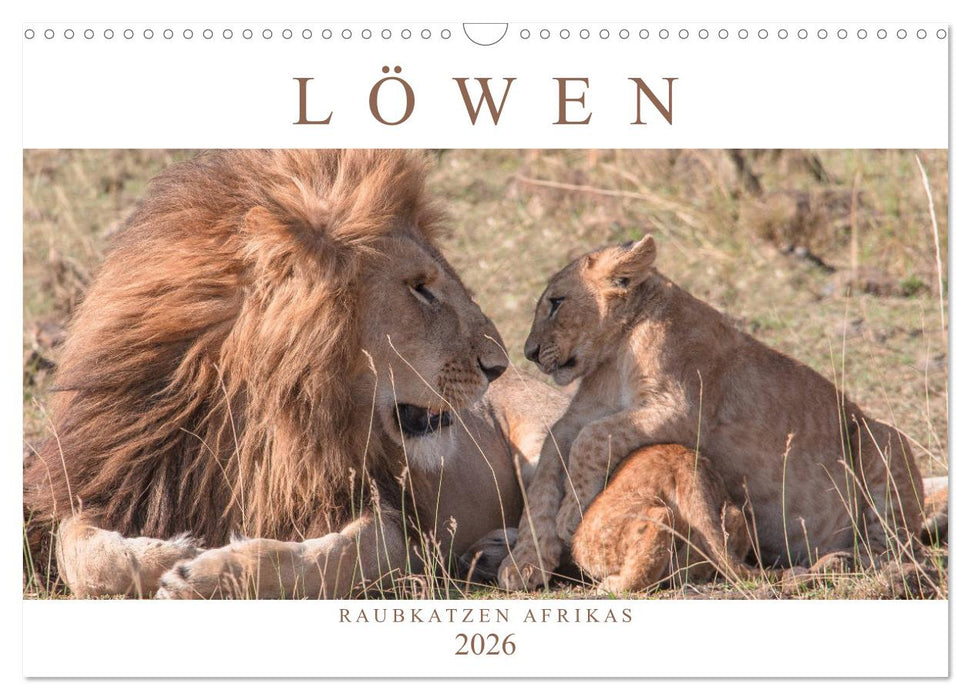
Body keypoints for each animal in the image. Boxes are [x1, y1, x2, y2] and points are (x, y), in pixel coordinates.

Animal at [23, 149, 566, 599]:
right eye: (419, 288)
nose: (500, 365)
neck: (255, 414)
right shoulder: (110, 480)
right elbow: (83, 554)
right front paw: (173, 551)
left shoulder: (390, 519)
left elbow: (327, 558)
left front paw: (205, 571)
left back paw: (505, 555)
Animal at [571, 444, 752, 594]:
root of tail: (684, 462)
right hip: (723, 508)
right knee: (732, 521)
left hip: (593, 538)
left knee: (659, 518)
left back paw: (612, 586)